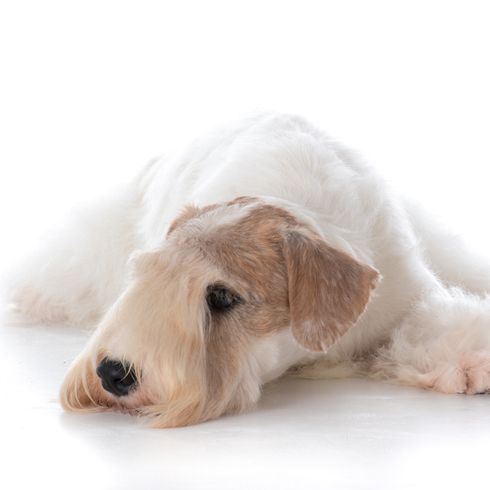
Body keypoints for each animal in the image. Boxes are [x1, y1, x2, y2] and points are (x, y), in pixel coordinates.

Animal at [9, 114, 490, 424]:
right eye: (145, 275)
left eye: (222, 296)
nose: (111, 373)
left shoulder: (406, 290)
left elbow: (433, 321)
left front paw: (473, 362)